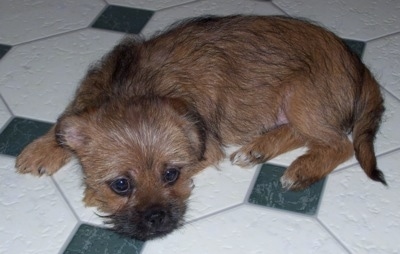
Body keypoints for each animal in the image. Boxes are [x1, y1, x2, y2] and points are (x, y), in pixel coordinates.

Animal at [14, 14, 386, 241]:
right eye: (121, 185)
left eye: (171, 175)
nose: (157, 218)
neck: (131, 88)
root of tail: (357, 63)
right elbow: (65, 124)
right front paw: (41, 149)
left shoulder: (205, 149)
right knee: (301, 133)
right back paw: (257, 149)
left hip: (301, 98)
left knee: (338, 144)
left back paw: (302, 169)